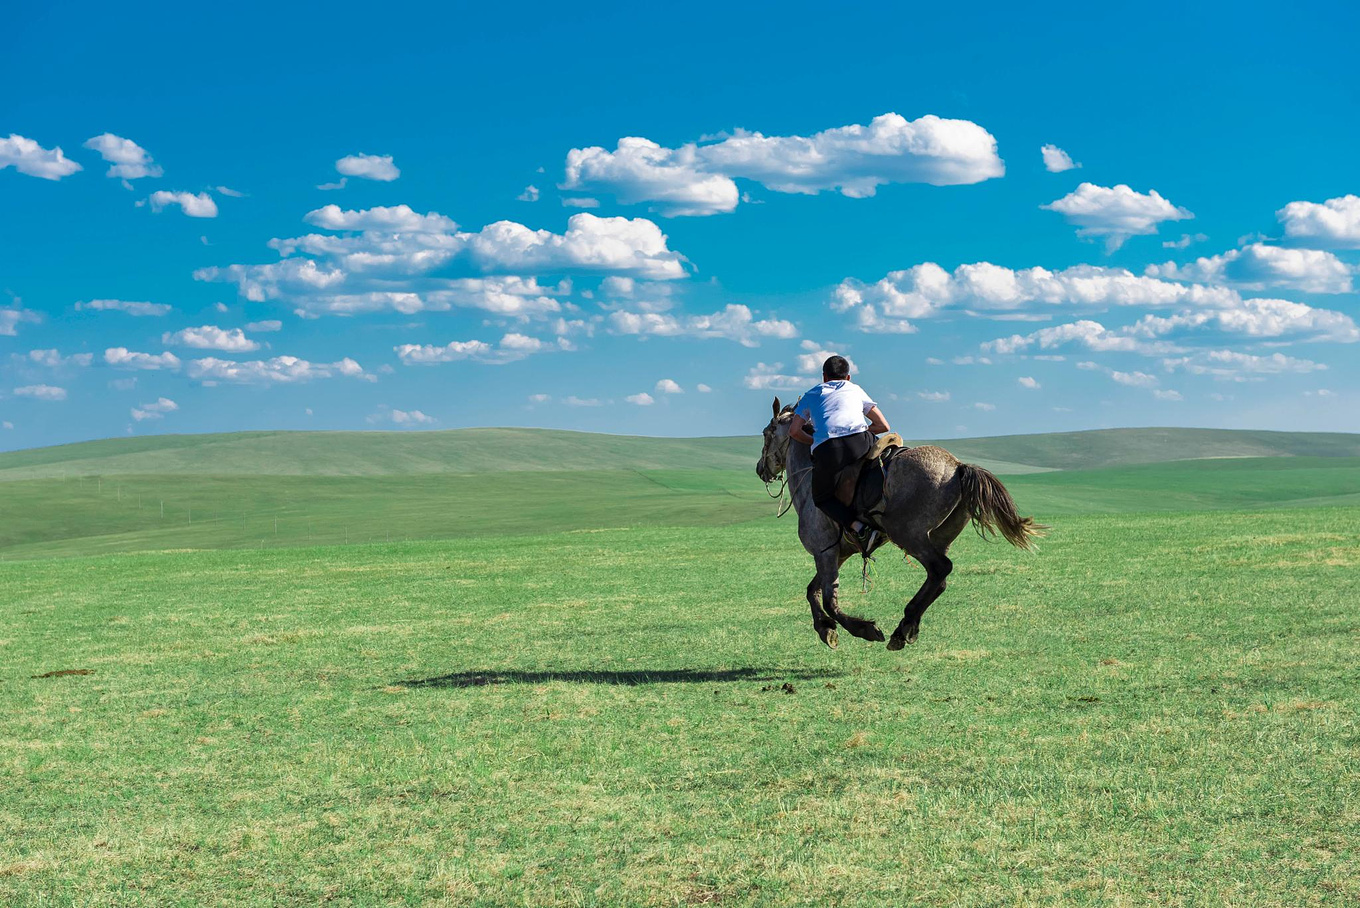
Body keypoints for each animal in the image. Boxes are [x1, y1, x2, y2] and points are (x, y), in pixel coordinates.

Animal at [756, 399, 1039, 652]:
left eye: (766, 433)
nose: (761, 469)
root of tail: (958, 467)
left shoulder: (824, 552)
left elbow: (828, 600)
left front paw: (862, 629)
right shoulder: (838, 553)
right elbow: (812, 591)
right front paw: (825, 629)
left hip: (908, 534)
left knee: (940, 569)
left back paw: (905, 626)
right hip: (939, 536)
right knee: (938, 580)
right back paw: (906, 627)